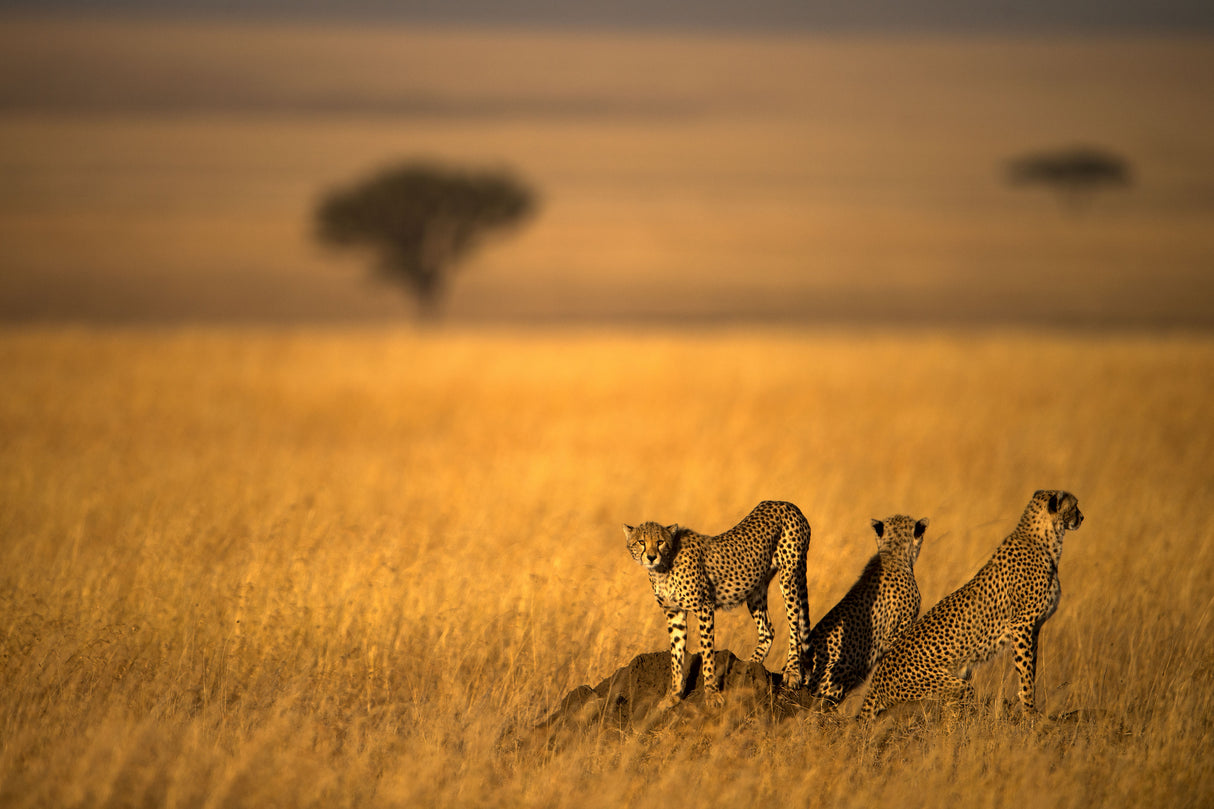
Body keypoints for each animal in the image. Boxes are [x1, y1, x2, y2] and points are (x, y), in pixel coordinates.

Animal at [625, 500, 812, 708]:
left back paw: (792, 672)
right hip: (755, 588)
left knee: (794, 626)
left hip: (789, 578)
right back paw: (748, 668)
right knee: (768, 631)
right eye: (641, 542)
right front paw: (673, 695)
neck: (663, 567)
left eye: (660, 542)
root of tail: (785, 503)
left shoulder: (704, 608)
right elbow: (676, 655)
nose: (651, 557)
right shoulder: (674, 613)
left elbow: (707, 652)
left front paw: (712, 694)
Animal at [858, 490, 1083, 720]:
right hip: (949, 685)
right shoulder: (1021, 626)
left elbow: (1031, 669)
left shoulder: (1034, 628)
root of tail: (876, 679)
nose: (1081, 517)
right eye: (1074, 506)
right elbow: (1026, 675)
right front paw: (1030, 712)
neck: (1045, 540)